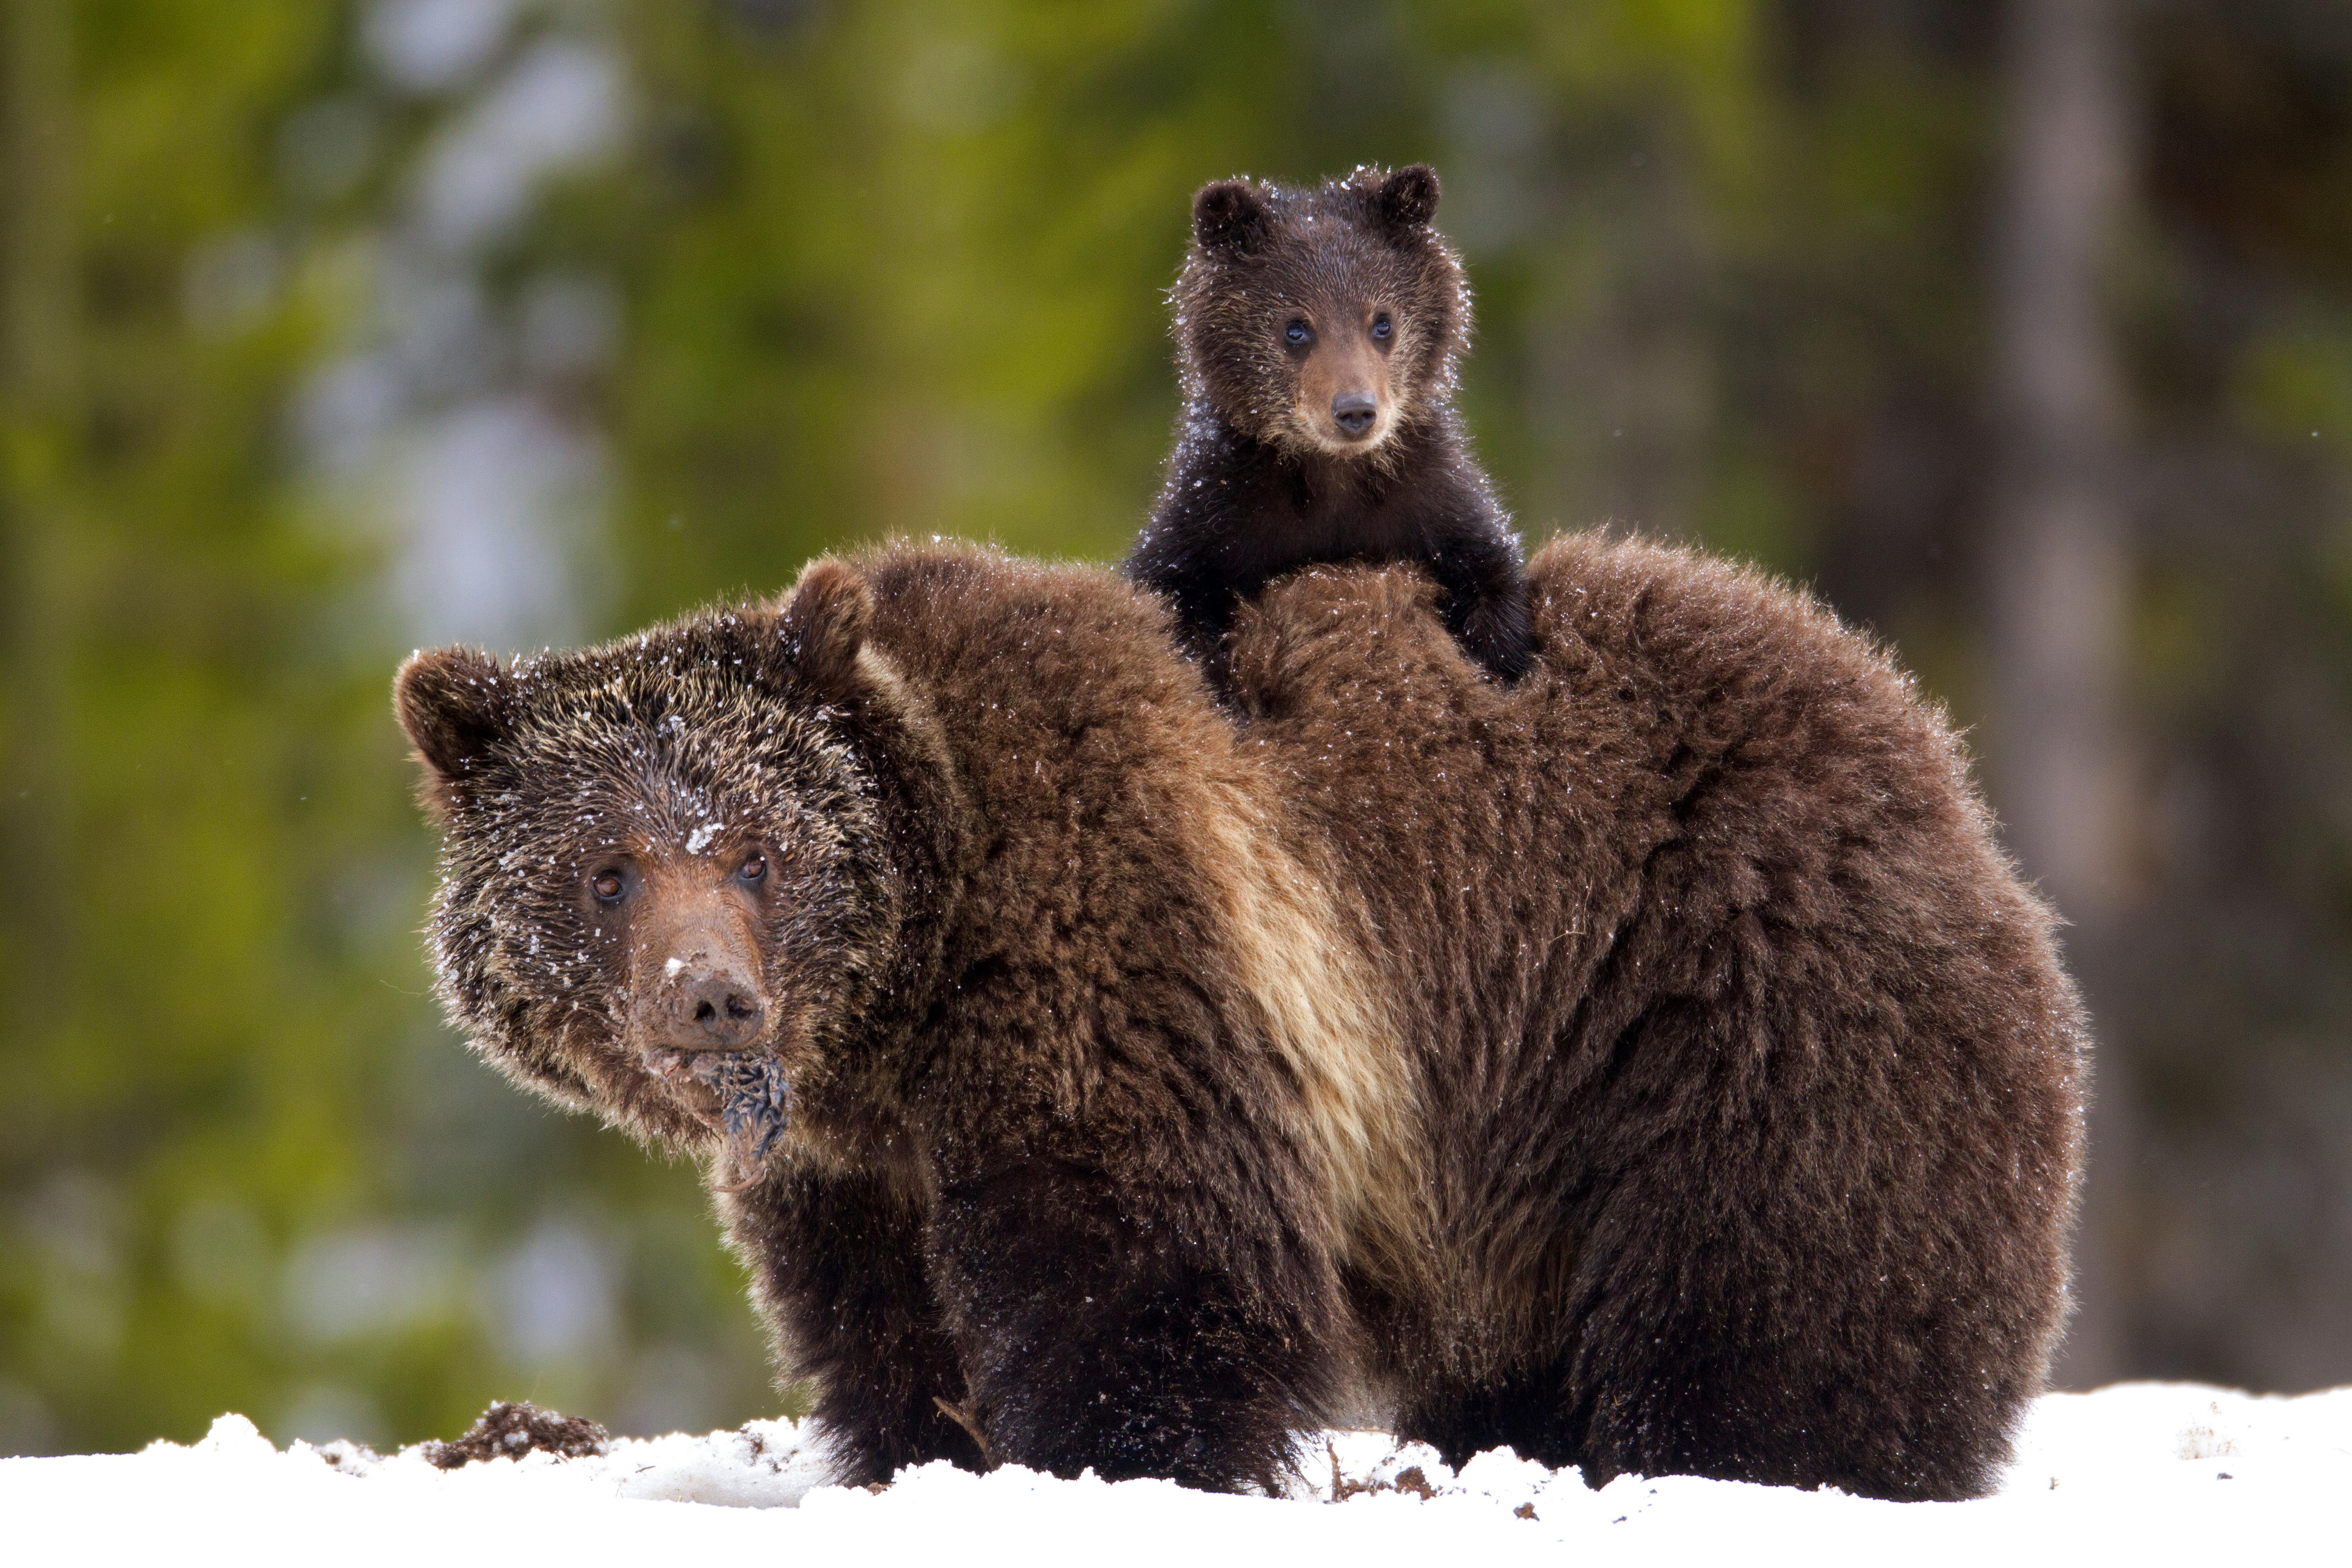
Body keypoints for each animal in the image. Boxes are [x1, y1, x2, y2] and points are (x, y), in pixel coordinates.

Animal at [394, 536, 2085, 1501]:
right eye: (608, 866)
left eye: (754, 848)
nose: (714, 995)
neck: (899, 1006)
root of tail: (1916, 731)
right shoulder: (850, 1161)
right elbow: (883, 1320)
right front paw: (921, 1451)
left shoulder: (1115, 937)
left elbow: (1135, 1259)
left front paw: (1112, 1458)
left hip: (1723, 990)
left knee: (1792, 1279)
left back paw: (1781, 1460)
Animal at [1124, 163, 1535, 687]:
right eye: (1296, 327)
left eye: (1382, 321)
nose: (1355, 410)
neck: (1333, 475)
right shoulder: (1219, 509)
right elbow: (1172, 590)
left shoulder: (1430, 498)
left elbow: (1491, 573)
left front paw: (1497, 657)